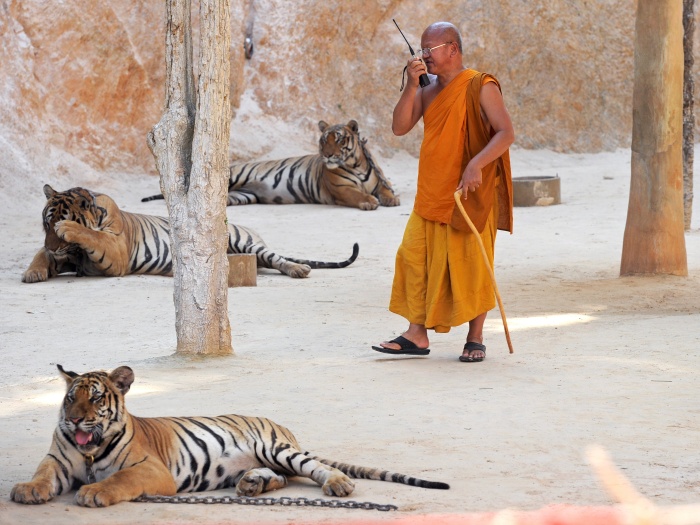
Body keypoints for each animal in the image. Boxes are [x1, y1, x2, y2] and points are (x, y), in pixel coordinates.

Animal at [11, 364, 449, 507]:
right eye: (71, 398)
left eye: (97, 398)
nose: (75, 421)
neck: (88, 451)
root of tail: (283, 427)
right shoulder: (57, 460)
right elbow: (42, 474)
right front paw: (27, 490)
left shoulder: (150, 470)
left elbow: (119, 479)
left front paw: (94, 493)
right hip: (267, 459)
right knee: (281, 479)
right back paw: (251, 484)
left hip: (275, 447)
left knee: (315, 468)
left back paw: (339, 485)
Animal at [22, 185, 358, 282]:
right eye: (44, 224)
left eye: (57, 226)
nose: (54, 246)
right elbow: (40, 254)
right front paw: (34, 271)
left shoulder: (114, 253)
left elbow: (93, 236)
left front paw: (71, 229)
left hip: (246, 241)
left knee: (277, 259)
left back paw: (299, 269)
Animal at [141, 120, 401, 210]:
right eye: (323, 140)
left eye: (338, 139)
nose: (327, 155)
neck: (356, 164)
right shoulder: (341, 189)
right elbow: (357, 194)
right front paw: (369, 202)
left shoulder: (379, 181)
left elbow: (386, 189)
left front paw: (392, 199)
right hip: (233, 177)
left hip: (243, 195)